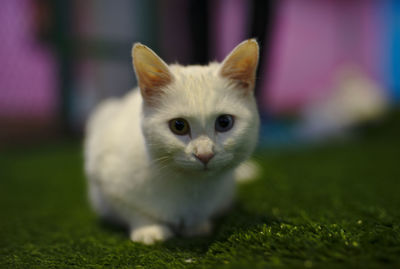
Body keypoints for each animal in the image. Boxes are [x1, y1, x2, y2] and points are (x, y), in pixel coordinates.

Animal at [83, 39, 260, 243]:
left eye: (224, 122)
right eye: (178, 125)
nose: (205, 154)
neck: (191, 187)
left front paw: (197, 226)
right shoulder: (103, 178)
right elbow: (131, 210)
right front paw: (149, 229)